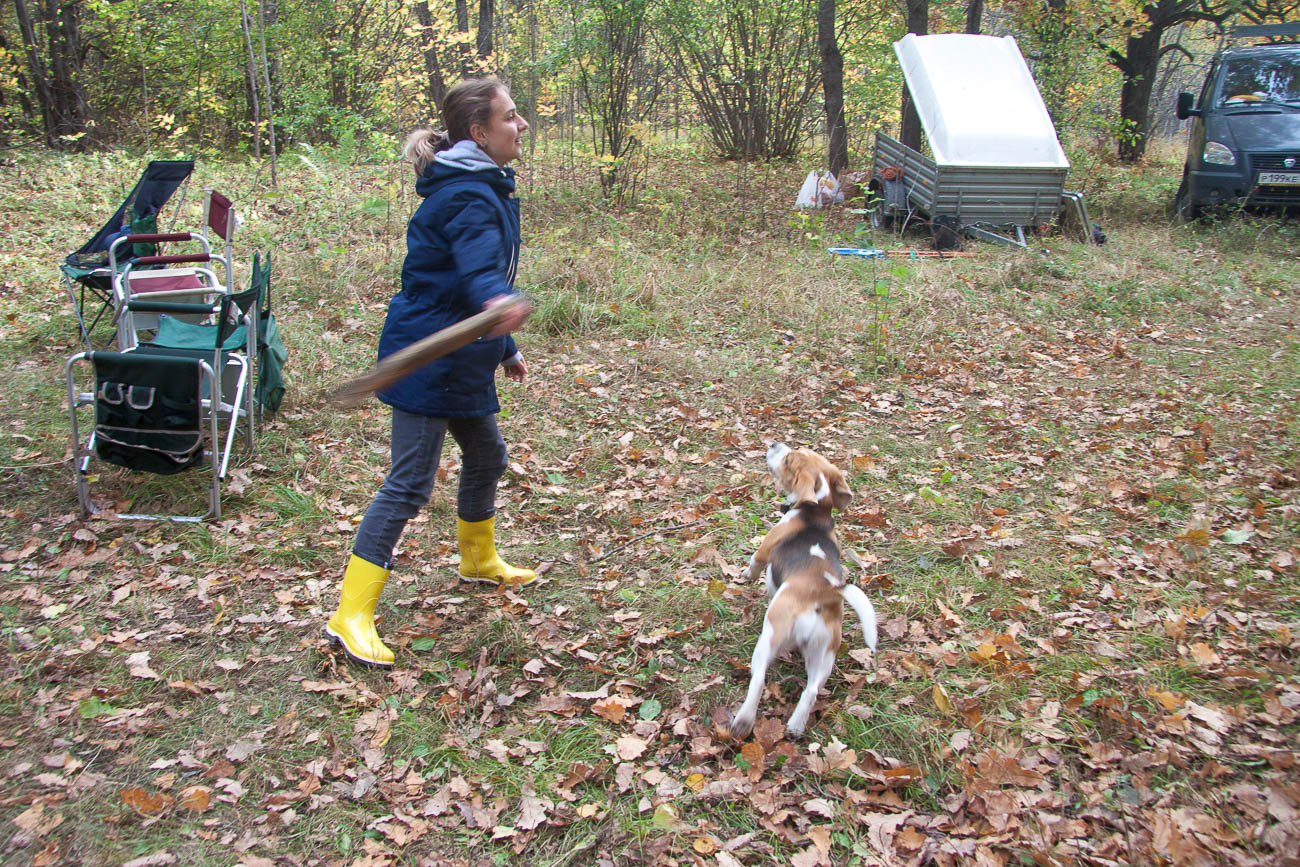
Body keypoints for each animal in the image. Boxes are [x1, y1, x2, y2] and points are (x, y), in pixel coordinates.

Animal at [730, 443, 878, 739]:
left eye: (788, 459)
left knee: (759, 680)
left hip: (770, 638)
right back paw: (796, 725)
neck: (816, 512)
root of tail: (824, 592)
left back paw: (744, 721)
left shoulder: (765, 549)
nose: (774, 444)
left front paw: (745, 577)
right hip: (824, 655)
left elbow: (755, 563)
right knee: (811, 691)